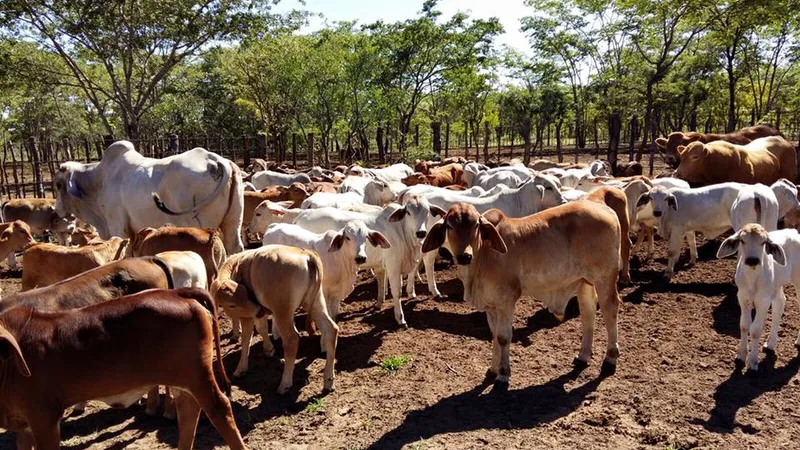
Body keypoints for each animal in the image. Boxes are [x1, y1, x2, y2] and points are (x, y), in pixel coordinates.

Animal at [0, 288, 247, 450]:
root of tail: (176, 293)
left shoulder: (44, 417)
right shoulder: (23, 426)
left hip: (197, 376)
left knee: (219, 408)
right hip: (183, 379)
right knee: (188, 412)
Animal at [54, 141, 244, 253]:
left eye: (57, 184)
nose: (56, 210)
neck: (98, 181)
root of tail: (214, 160)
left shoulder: (119, 228)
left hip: (201, 225)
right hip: (233, 222)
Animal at [209, 246, 338, 394]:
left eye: (232, 305)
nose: (258, 310)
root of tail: (305, 253)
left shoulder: (247, 316)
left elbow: (246, 337)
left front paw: (241, 368)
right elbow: (262, 328)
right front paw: (269, 349)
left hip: (283, 312)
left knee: (291, 339)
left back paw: (285, 384)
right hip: (317, 303)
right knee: (331, 330)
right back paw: (328, 379)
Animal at [716, 223, 796, 370]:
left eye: (763, 242)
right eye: (742, 240)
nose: (752, 260)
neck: (753, 279)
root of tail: (794, 231)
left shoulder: (763, 301)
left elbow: (755, 330)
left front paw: (753, 361)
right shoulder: (742, 297)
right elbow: (744, 325)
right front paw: (741, 356)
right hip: (776, 285)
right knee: (780, 303)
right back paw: (770, 344)